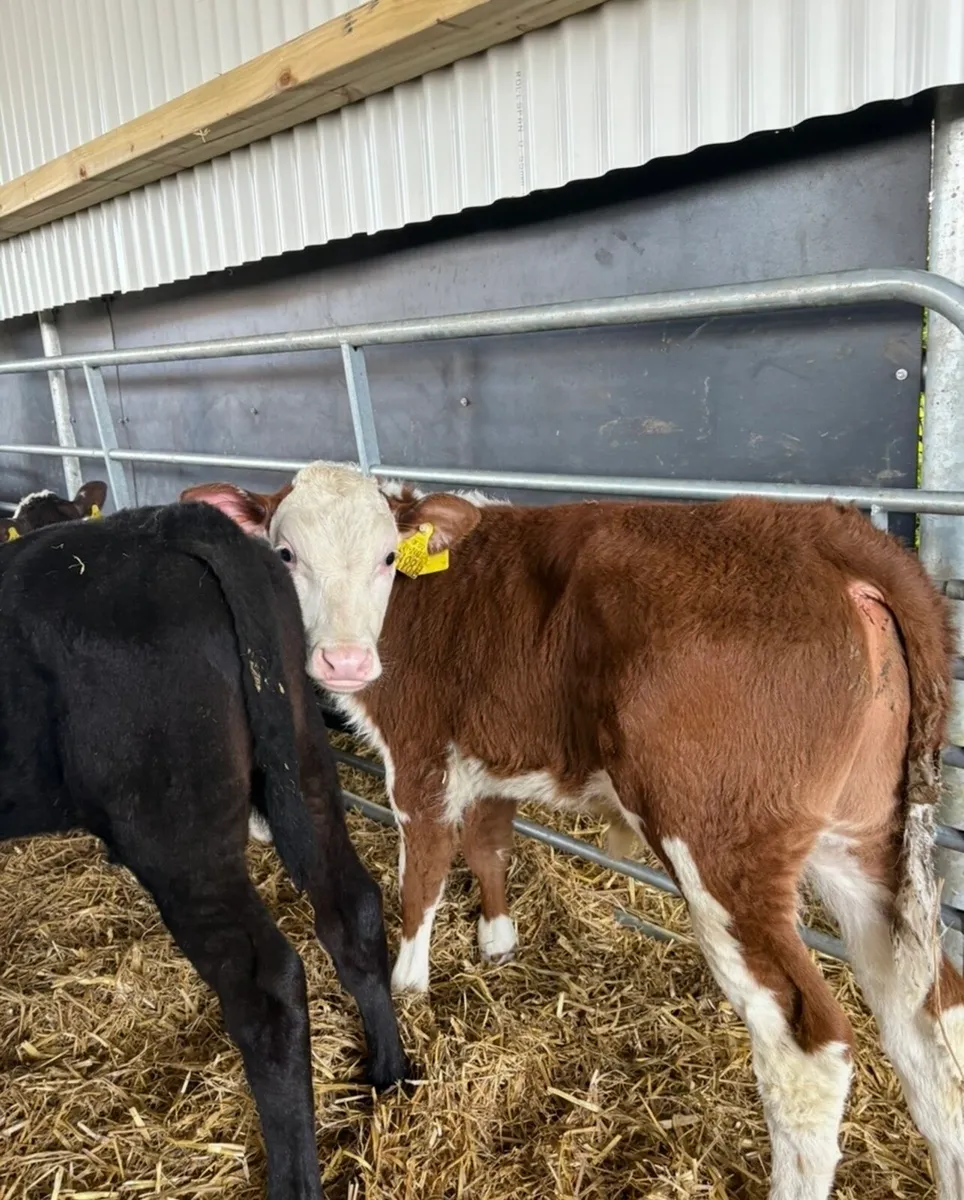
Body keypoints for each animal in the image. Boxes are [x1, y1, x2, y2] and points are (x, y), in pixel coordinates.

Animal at [0, 498, 409, 1200]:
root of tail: (165, 522)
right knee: (351, 905)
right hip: (304, 757)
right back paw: (391, 1070)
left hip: (178, 836)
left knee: (266, 989)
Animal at [182, 462, 964, 1200]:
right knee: (931, 1019)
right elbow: (488, 844)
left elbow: (424, 872)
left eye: (384, 557)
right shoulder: (490, 756)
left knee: (807, 1049)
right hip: (866, 846)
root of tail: (823, 531)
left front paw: (409, 981)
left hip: (721, 850)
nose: (345, 660)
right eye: (285, 553)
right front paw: (498, 940)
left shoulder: (418, 756)